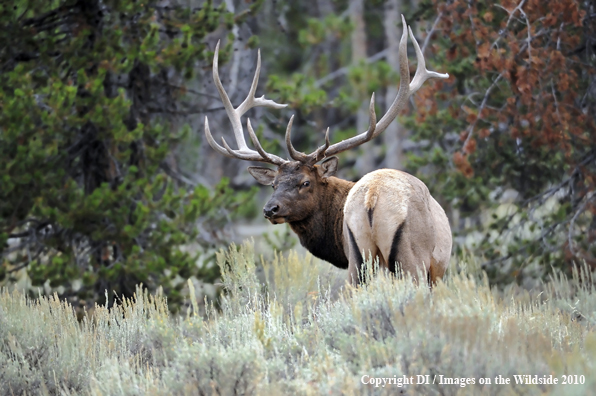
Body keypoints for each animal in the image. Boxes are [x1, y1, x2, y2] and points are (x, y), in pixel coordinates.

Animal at [205, 16, 452, 284]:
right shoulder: (435, 272)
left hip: (360, 260)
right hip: (410, 259)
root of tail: (372, 197)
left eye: (305, 182)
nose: (270, 209)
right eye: (274, 185)